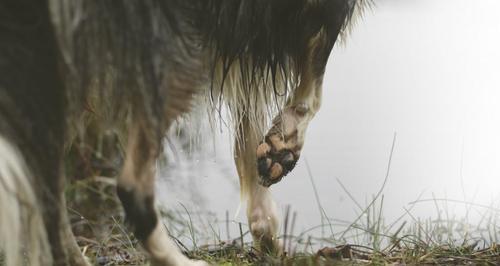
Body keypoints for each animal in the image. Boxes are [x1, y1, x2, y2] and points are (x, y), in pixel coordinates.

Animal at [0, 1, 368, 264]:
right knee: (131, 187)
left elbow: (249, 130)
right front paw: (284, 144)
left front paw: (267, 232)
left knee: (44, 185)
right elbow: (314, 81)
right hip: (172, 48)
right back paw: (180, 261)